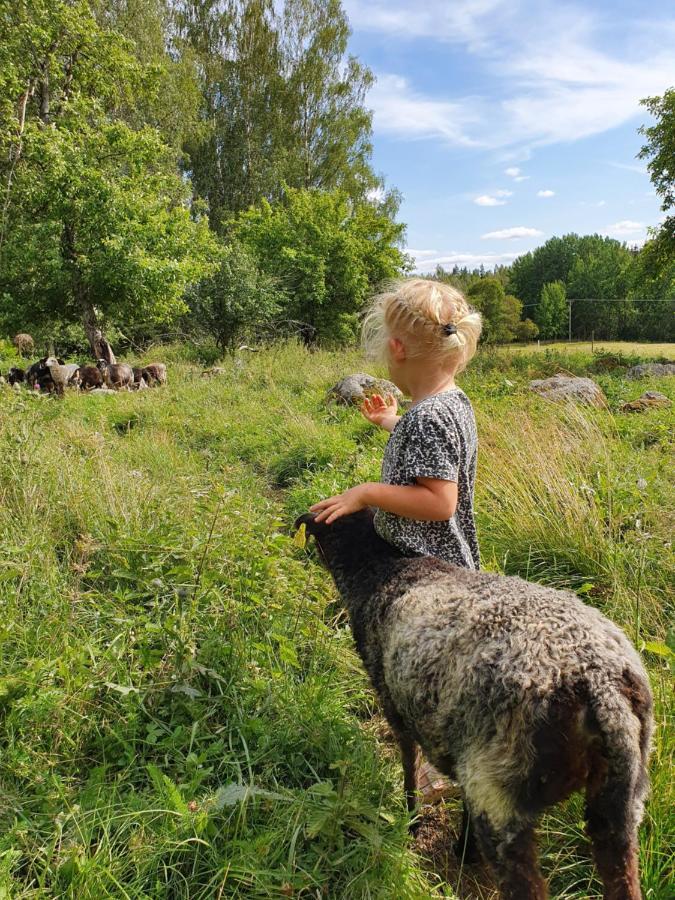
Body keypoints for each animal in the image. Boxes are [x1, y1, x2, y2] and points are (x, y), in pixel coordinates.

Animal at [296, 512, 656, 900]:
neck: (383, 569)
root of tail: (602, 688)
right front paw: (463, 848)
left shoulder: (398, 710)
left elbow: (409, 768)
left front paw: (413, 823)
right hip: (620, 804)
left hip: (501, 796)